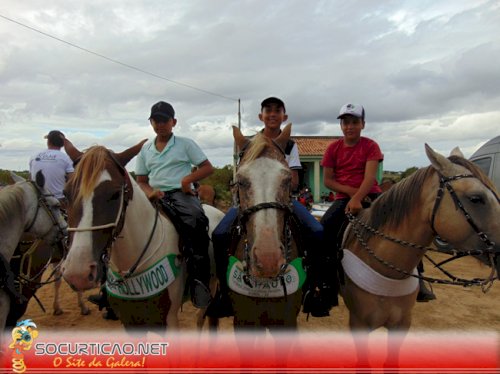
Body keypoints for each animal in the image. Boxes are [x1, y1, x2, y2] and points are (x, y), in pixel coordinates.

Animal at [59, 142, 222, 330]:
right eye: (65, 193)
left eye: (115, 194)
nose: (78, 273)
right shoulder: (130, 321)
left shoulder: (170, 320)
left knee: (201, 318)